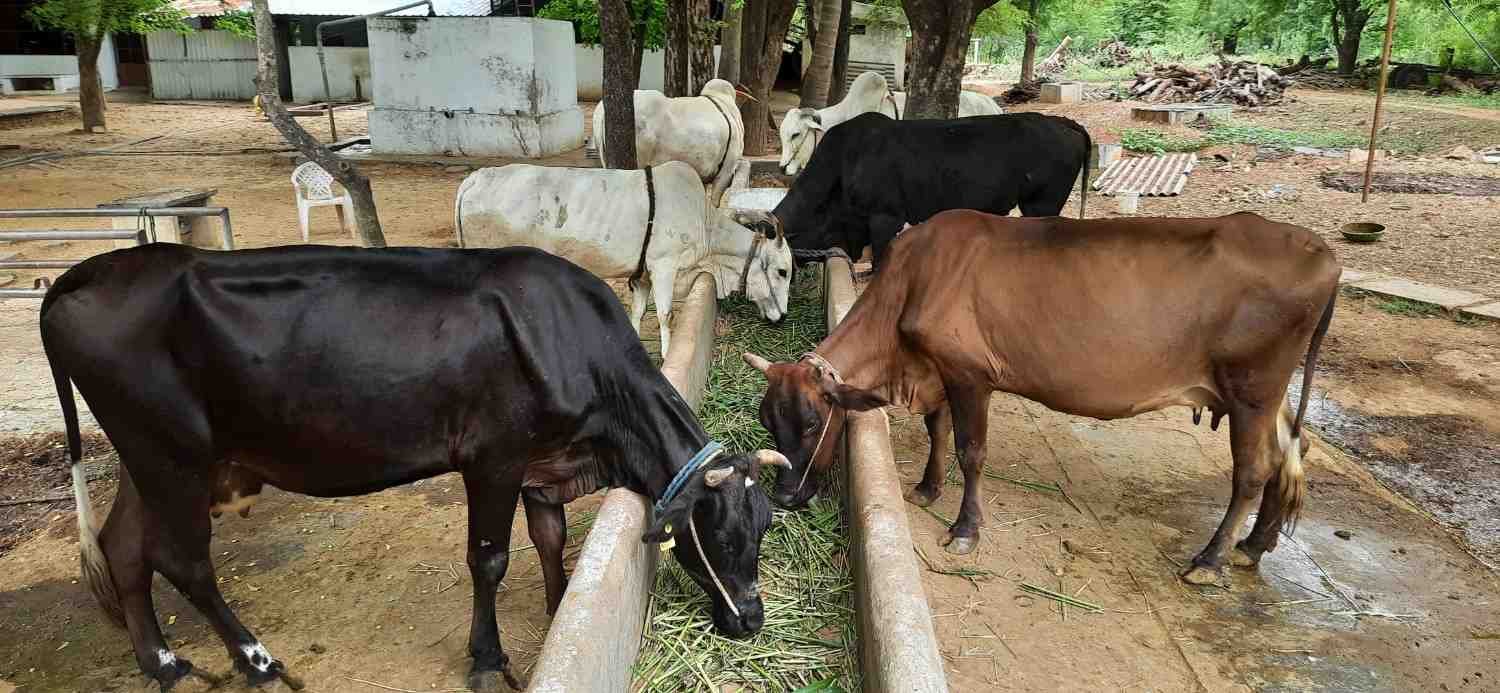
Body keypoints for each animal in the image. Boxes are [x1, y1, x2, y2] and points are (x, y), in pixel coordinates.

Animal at [41, 244, 787, 692]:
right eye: (723, 537)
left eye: (765, 527)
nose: (753, 621)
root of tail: (86, 273)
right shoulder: (494, 457)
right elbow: (489, 559)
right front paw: (486, 660)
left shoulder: (543, 463)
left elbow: (549, 541)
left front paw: (558, 610)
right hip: (172, 455)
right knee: (185, 561)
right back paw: (257, 661)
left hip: (148, 459)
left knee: (124, 549)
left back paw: (163, 662)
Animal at [455, 161, 793, 358]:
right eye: (782, 271)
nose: (783, 317)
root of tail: (474, 179)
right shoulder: (664, 267)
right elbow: (665, 316)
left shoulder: (641, 276)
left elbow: (638, 314)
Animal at [744, 211, 1340, 587]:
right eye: (770, 423)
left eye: (812, 421)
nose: (786, 497)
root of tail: (1322, 252)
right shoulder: (938, 371)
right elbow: (938, 430)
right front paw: (927, 489)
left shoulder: (970, 374)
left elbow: (970, 451)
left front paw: (965, 529)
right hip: (1265, 395)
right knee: (1292, 452)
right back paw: (1254, 545)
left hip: (1251, 389)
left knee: (1253, 470)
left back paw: (1210, 560)